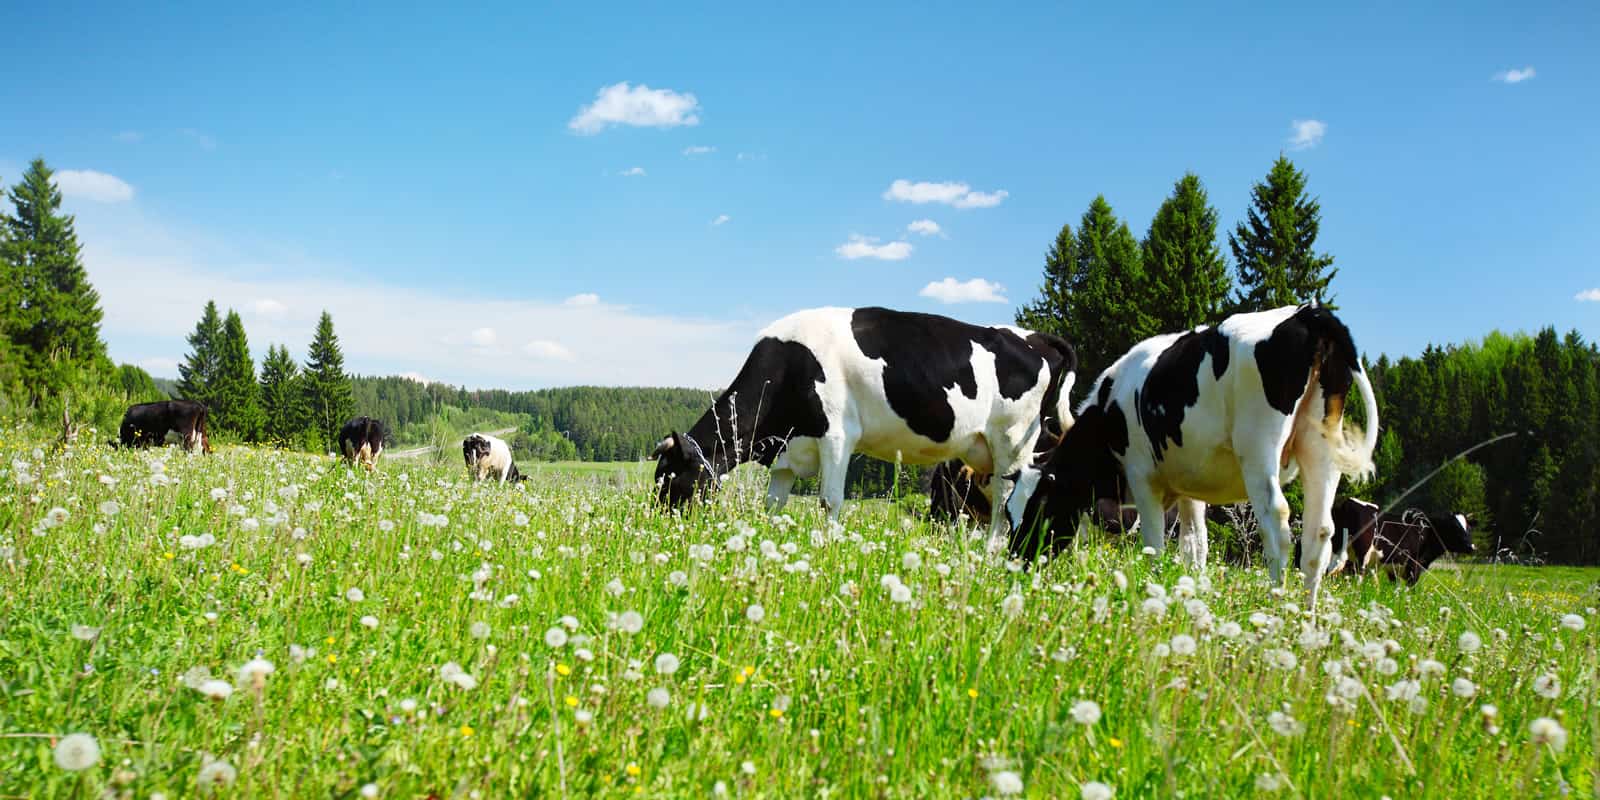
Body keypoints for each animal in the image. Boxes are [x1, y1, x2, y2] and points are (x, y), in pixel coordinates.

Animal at [649, 305, 1075, 537]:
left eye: (670, 479)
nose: (658, 525)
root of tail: (1033, 337)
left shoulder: (837, 434)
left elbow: (829, 501)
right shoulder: (788, 451)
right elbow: (774, 507)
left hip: (1013, 441)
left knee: (1007, 503)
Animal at [1004, 305, 1382, 604]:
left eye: (1039, 509)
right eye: (1009, 512)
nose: (1014, 564)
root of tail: (1307, 313)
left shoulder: (1143, 478)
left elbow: (1154, 545)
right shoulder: (1189, 488)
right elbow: (1195, 546)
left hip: (1258, 448)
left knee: (1276, 526)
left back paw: (1275, 608)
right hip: (1321, 450)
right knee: (1319, 534)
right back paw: (1304, 617)